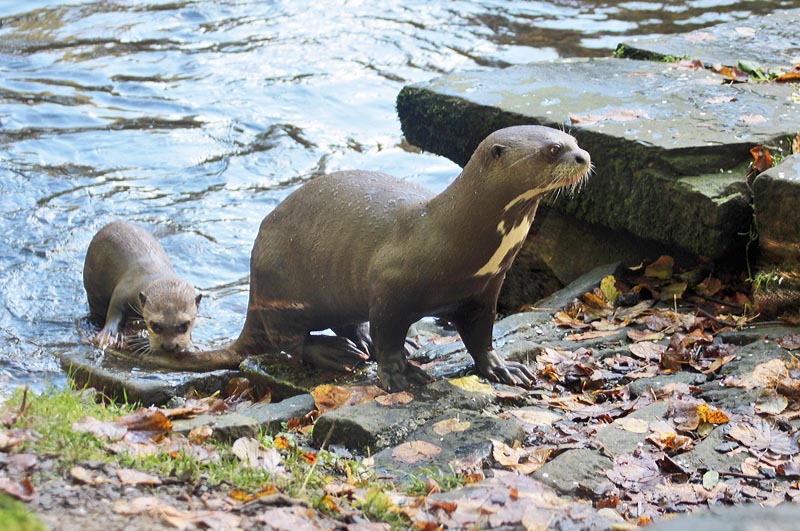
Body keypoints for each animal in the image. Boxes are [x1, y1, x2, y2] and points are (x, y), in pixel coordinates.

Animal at [83, 221, 202, 355]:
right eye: (155, 326)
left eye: (185, 325)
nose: (169, 346)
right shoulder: (123, 291)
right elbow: (114, 312)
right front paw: (108, 336)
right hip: (93, 294)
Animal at [178, 125, 591, 391]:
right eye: (552, 150)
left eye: (574, 139)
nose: (585, 157)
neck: (449, 236)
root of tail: (254, 274)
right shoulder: (391, 287)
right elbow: (389, 334)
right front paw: (401, 375)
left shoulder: (485, 290)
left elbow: (481, 336)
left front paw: (502, 367)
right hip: (282, 291)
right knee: (289, 340)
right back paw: (335, 352)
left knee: (344, 324)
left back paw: (362, 341)